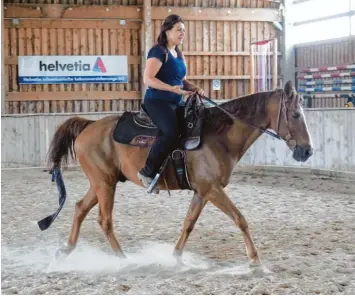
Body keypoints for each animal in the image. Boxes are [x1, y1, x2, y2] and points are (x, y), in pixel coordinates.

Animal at [45, 81, 314, 266]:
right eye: (295, 114)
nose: (307, 151)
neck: (217, 136)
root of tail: (88, 125)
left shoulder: (203, 192)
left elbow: (189, 223)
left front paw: (175, 257)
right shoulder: (212, 189)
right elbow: (240, 219)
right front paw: (255, 261)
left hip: (102, 183)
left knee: (80, 208)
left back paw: (65, 250)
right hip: (105, 184)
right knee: (105, 220)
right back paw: (122, 259)